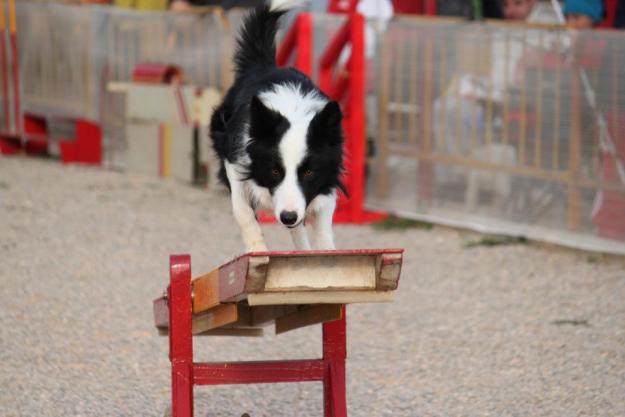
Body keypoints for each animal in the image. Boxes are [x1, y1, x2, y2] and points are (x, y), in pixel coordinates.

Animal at [210, 0, 346, 252]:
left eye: (309, 172)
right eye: (274, 171)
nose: (288, 217)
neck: (291, 110)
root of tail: (264, 65)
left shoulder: (326, 179)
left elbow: (322, 227)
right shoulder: (235, 158)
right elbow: (242, 211)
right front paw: (257, 250)